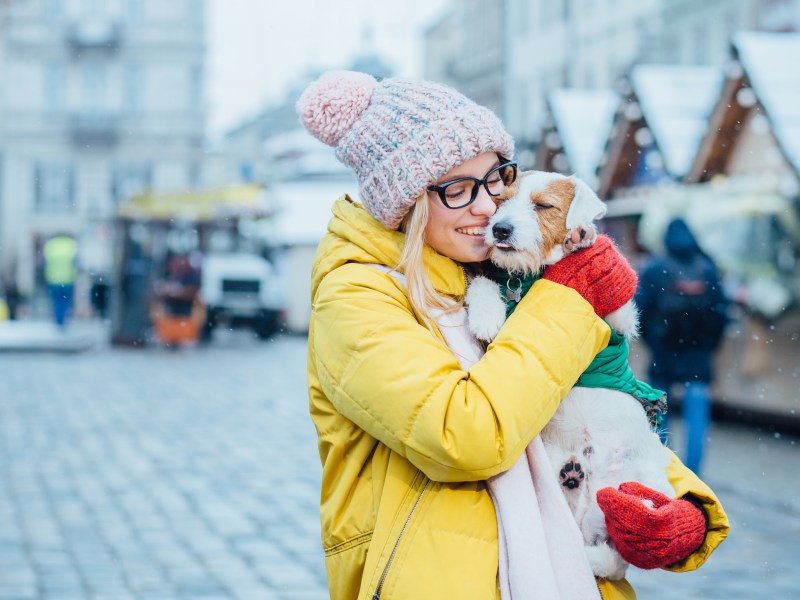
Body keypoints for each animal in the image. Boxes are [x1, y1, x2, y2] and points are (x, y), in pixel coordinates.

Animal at [466, 170, 672, 580]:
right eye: (501, 200)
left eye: (544, 206)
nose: (499, 229)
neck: (529, 279)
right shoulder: (498, 285)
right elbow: (483, 284)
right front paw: (486, 316)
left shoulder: (620, 321)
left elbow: (613, 306)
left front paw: (585, 239)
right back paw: (571, 474)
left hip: (642, 481)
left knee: (618, 553)